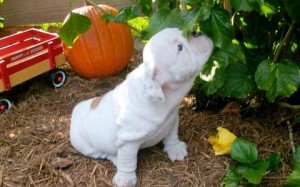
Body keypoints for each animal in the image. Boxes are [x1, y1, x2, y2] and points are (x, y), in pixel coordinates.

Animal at [69, 28, 212, 187]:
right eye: (179, 48)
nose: (196, 32)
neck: (166, 95)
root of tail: (77, 110)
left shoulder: (172, 120)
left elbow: (172, 136)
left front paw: (175, 149)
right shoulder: (128, 141)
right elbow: (127, 161)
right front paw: (126, 179)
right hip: (85, 146)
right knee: (104, 153)